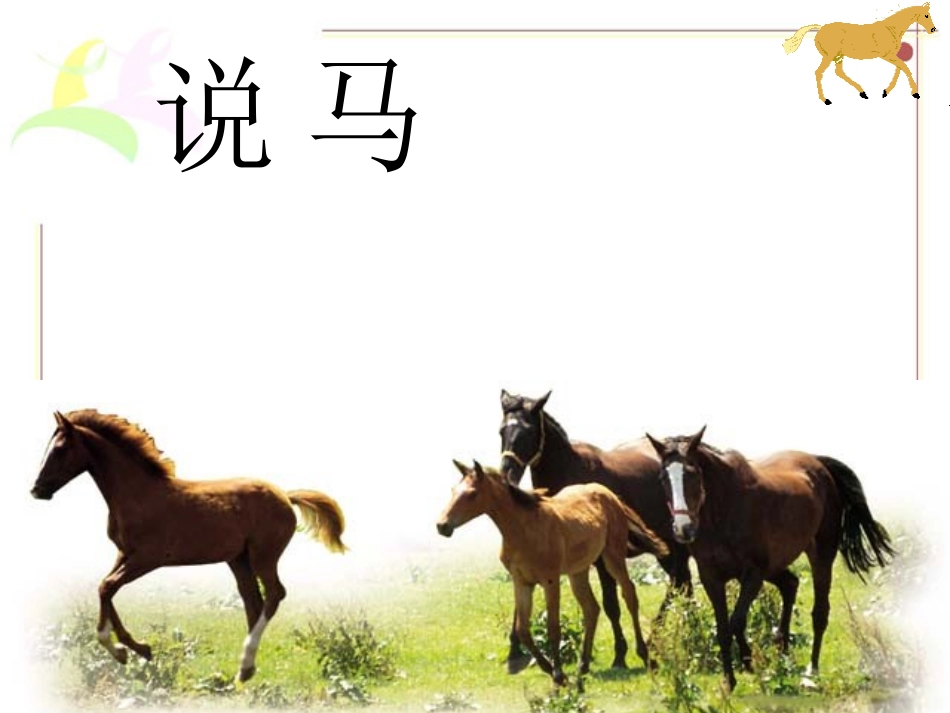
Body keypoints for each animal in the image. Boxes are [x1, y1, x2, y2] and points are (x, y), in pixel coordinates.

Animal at [30, 410, 347, 683]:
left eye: (60, 449)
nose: (37, 489)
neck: (138, 495)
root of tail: (285, 495)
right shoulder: (124, 554)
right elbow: (104, 588)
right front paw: (130, 650)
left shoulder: (148, 557)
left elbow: (107, 587)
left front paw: (128, 650)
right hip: (238, 559)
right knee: (253, 600)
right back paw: (245, 670)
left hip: (263, 556)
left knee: (274, 594)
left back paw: (245, 663)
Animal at [436, 460, 668, 685]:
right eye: (453, 490)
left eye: (472, 494)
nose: (442, 526)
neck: (524, 530)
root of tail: (609, 494)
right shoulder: (521, 582)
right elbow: (523, 629)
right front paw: (548, 668)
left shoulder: (550, 580)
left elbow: (553, 627)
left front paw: (558, 674)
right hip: (578, 571)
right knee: (591, 609)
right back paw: (583, 667)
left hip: (613, 557)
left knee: (629, 595)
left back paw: (645, 656)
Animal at [498, 390, 691, 673]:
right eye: (502, 431)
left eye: (529, 431)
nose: (507, 474)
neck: (570, 471)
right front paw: (515, 650)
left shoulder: (599, 559)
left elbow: (611, 604)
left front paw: (620, 654)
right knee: (683, 584)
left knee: (679, 583)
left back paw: (657, 639)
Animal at [645, 427, 896, 691]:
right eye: (662, 478)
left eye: (692, 474)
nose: (683, 529)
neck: (725, 511)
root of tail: (819, 463)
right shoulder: (712, 577)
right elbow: (723, 629)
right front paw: (729, 681)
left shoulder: (753, 574)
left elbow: (736, 621)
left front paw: (747, 663)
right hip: (776, 565)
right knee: (790, 584)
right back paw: (782, 650)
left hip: (821, 557)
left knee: (819, 613)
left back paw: (811, 671)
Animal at [783, 4, 937, 104]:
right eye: (926, 15)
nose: (933, 29)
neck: (891, 29)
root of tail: (820, 29)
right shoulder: (886, 55)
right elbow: (905, 68)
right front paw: (915, 93)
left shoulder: (892, 55)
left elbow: (899, 68)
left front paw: (885, 92)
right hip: (829, 56)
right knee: (819, 72)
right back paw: (826, 100)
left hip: (838, 56)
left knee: (839, 72)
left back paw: (863, 93)